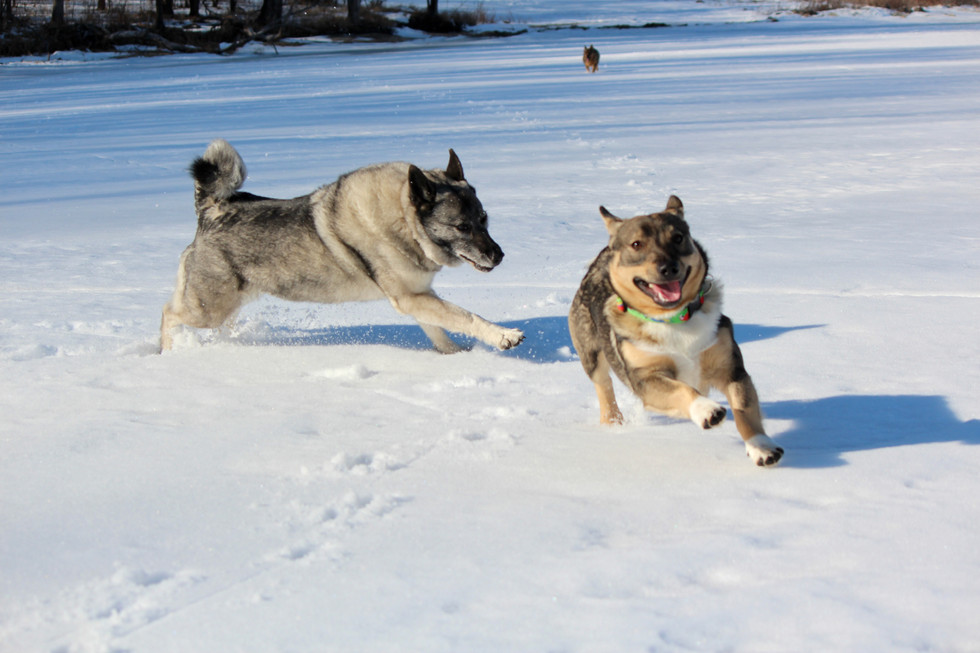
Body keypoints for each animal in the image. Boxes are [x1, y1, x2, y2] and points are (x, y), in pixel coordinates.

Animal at [160, 140, 525, 354]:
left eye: (484, 219)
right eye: (462, 226)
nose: (499, 256)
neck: (403, 222)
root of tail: (211, 209)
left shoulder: (416, 296)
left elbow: (438, 328)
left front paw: (454, 355)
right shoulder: (411, 297)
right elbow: (466, 316)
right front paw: (503, 335)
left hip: (227, 304)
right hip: (207, 308)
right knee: (168, 313)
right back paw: (169, 351)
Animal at [568, 196, 783, 466]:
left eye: (678, 237)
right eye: (636, 244)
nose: (668, 268)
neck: (673, 319)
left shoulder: (730, 365)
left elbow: (745, 408)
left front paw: (761, 447)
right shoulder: (644, 376)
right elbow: (682, 389)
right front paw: (707, 410)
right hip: (590, 352)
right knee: (603, 387)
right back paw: (613, 424)